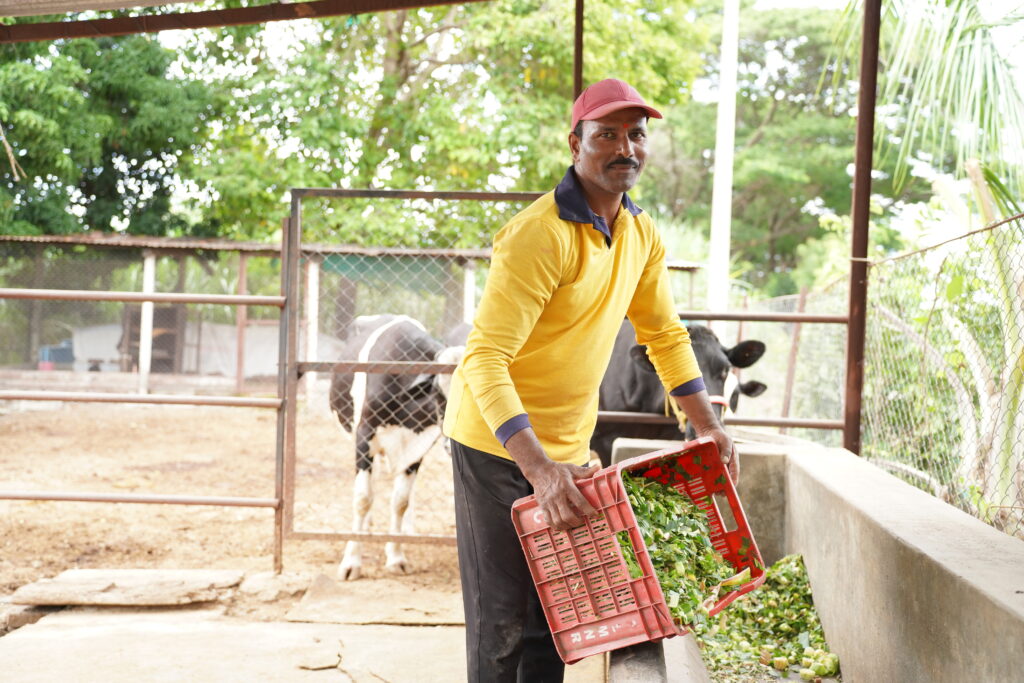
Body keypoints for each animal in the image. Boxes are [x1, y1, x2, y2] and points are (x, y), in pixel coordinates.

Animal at [329, 313, 466, 577]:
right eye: (438, 392)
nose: (451, 445)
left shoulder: (417, 448)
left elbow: (400, 501)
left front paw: (396, 556)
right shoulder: (364, 437)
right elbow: (362, 498)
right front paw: (351, 561)